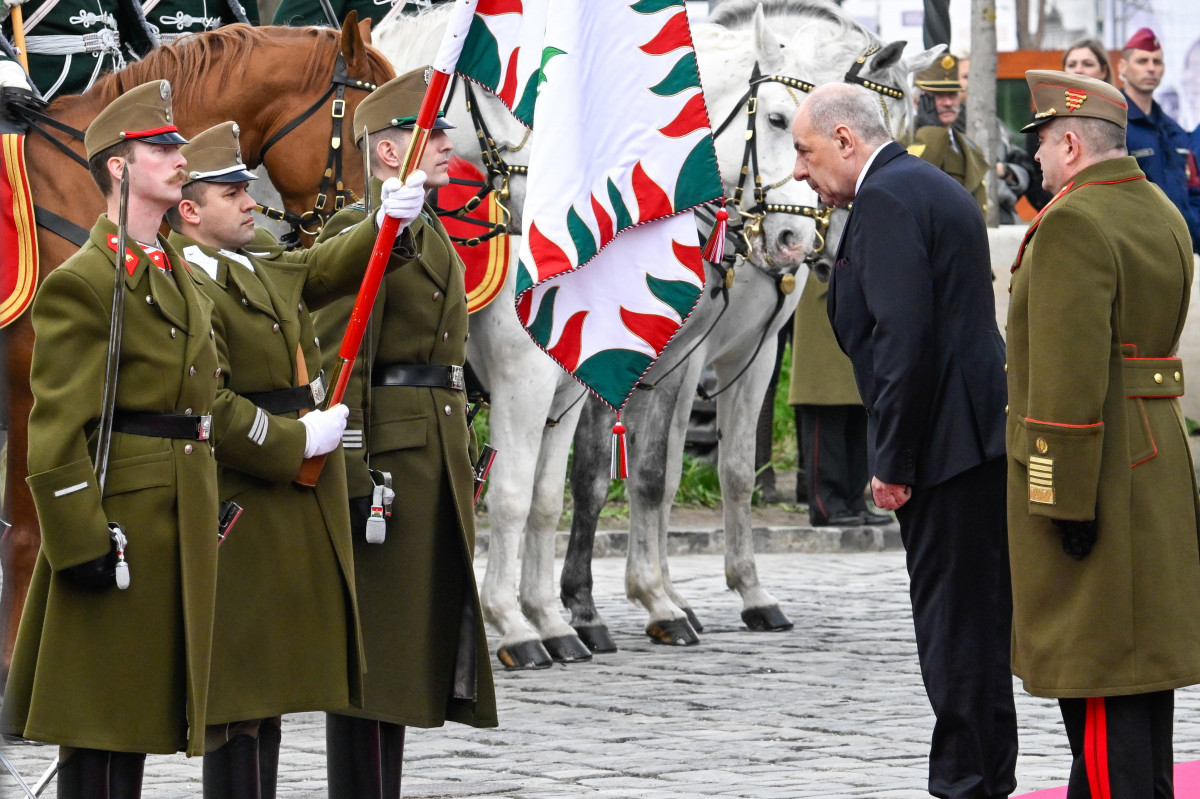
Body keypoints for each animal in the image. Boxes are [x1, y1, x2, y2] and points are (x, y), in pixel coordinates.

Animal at [556, 0, 940, 647]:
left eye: (905, 129)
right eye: (782, 121)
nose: (806, 243)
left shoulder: (746, 358)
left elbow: (719, 469)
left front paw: (739, 593)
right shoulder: (650, 359)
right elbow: (619, 470)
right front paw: (614, 602)